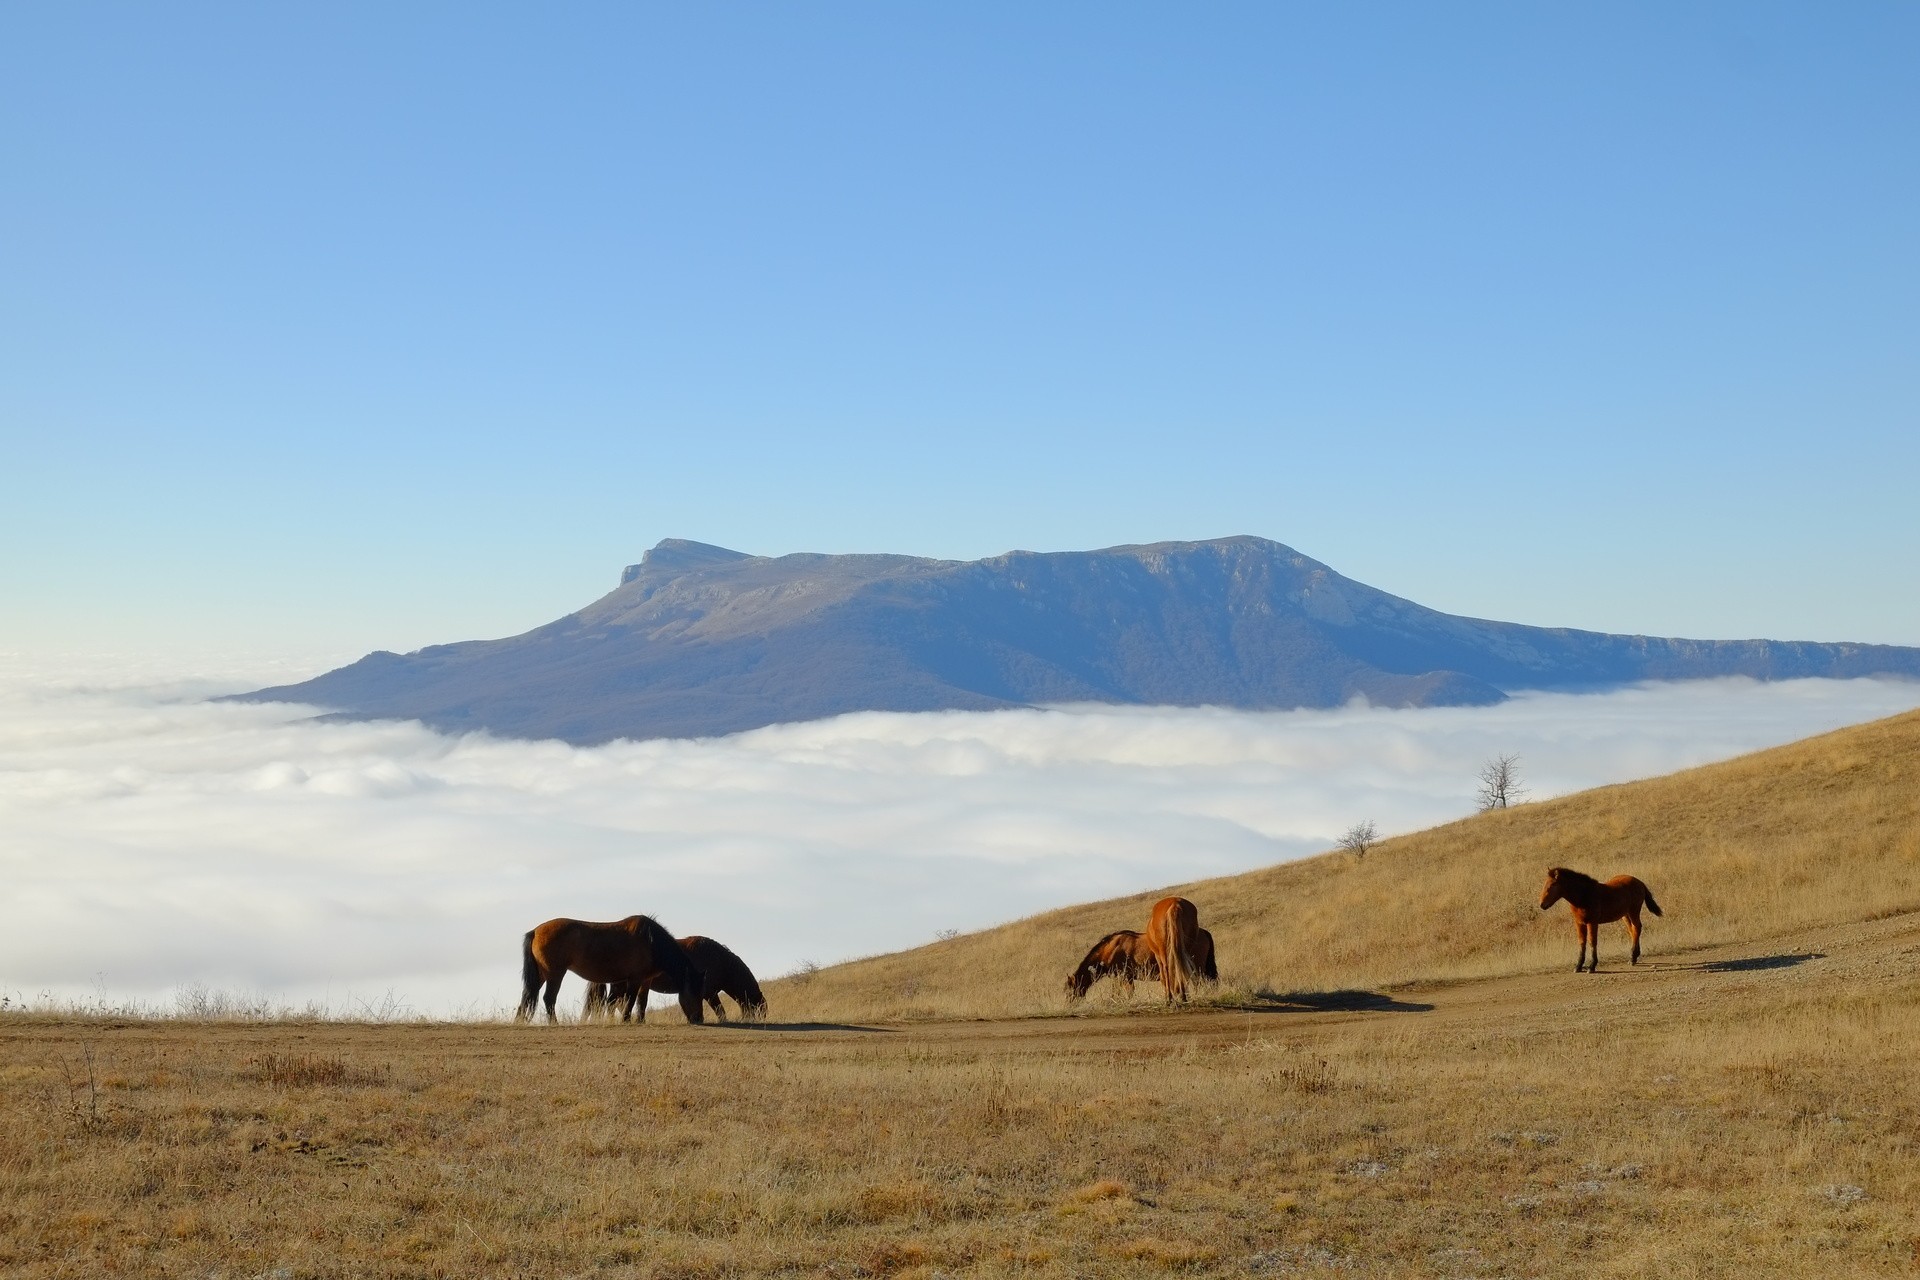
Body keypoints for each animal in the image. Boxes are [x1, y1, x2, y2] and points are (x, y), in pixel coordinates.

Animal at [514, 917, 710, 1028]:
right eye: (693, 993)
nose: (699, 1018)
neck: (651, 942)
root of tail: (535, 931)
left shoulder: (643, 981)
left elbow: (639, 1002)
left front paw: (639, 1020)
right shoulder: (635, 979)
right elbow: (630, 1000)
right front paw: (626, 1020)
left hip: (541, 975)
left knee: (527, 996)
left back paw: (519, 1021)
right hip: (555, 974)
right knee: (549, 998)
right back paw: (554, 1023)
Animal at [587, 932, 768, 1020]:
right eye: (759, 1009)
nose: (758, 1020)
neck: (720, 961)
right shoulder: (709, 994)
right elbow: (720, 1011)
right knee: (611, 1003)